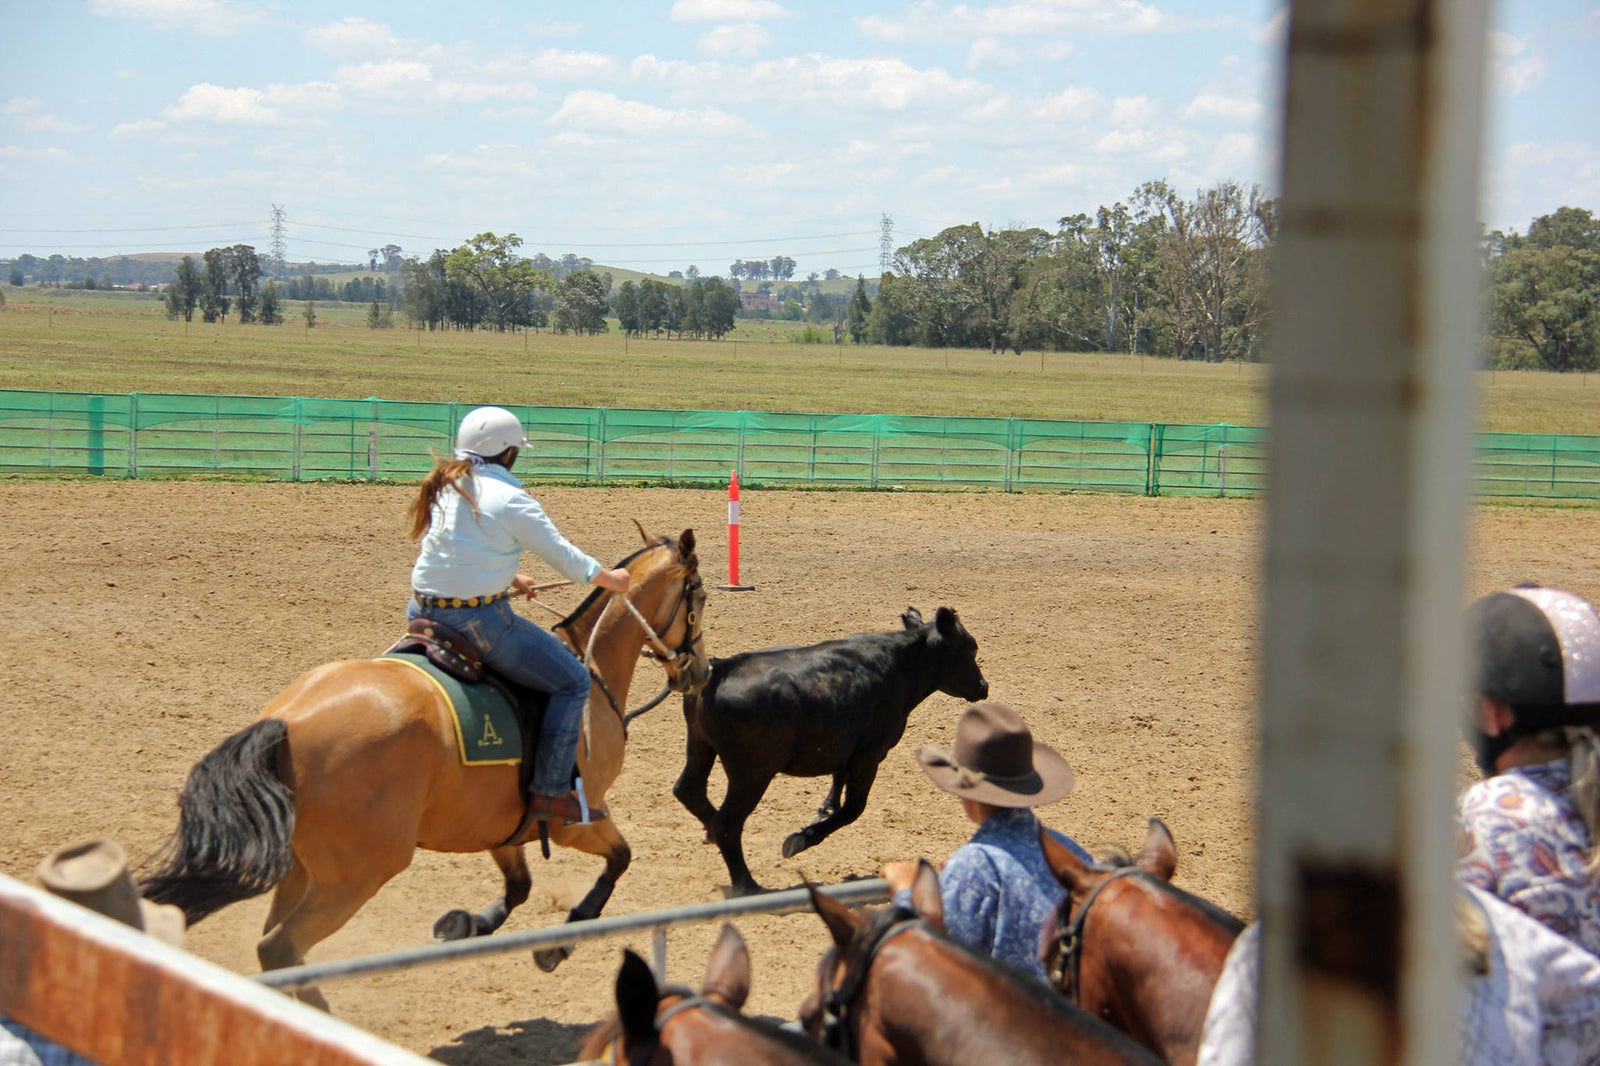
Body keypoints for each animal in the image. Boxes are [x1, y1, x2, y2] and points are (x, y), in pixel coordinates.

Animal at [137, 524, 713, 1005]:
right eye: (701, 597)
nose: (700, 671)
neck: (590, 676)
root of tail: (288, 722)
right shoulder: (580, 818)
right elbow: (619, 860)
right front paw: (556, 947)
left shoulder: (502, 826)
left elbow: (518, 887)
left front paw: (464, 926)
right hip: (357, 872)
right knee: (280, 947)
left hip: (303, 866)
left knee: (276, 946)